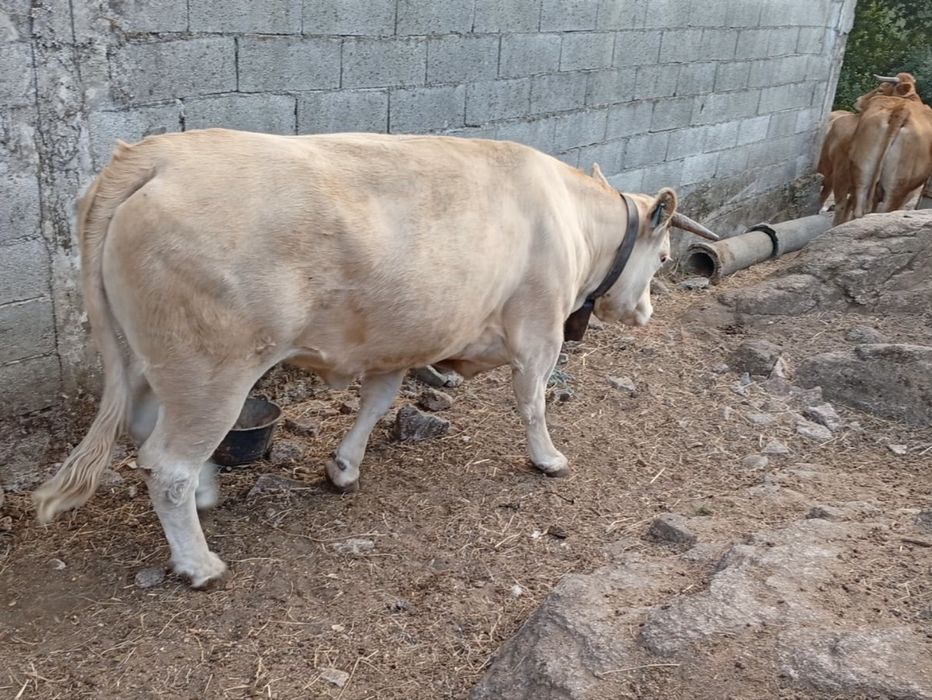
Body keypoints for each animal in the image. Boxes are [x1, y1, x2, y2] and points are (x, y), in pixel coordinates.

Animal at [33, 129, 717, 588]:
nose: (646, 313)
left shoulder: (401, 338)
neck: (574, 222)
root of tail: (154, 154)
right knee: (166, 462)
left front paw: (344, 467)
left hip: (152, 360)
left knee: (148, 432)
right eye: (662, 259)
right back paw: (199, 562)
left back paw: (206, 495)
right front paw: (547, 459)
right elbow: (532, 401)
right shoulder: (537, 328)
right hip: (213, 369)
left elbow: (378, 401)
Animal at [845, 73, 932, 221]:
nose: (858, 100)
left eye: (881, 89)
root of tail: (901, 110)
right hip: (897, 187)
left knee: (859, 210)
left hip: (861, 172)